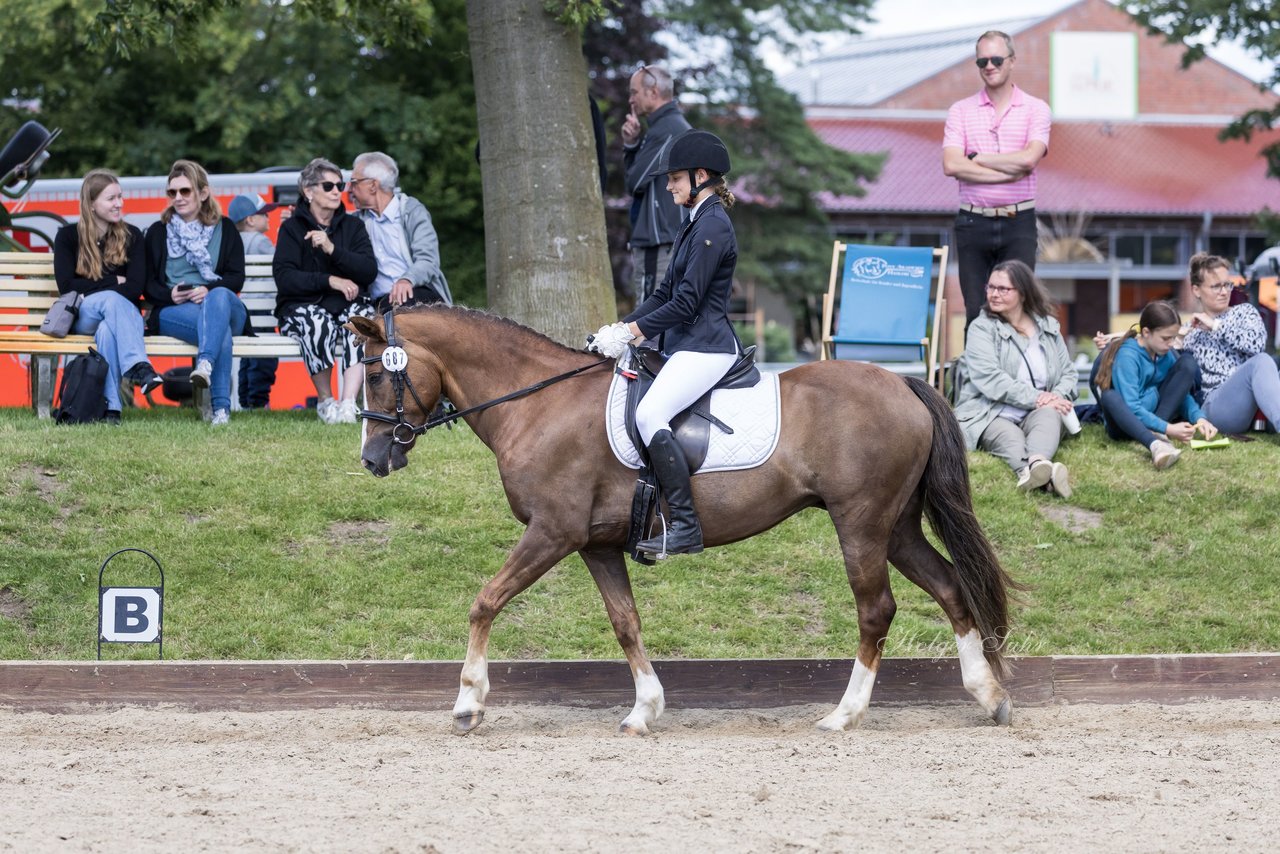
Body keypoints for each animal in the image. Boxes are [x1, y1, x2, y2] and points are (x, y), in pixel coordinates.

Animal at [350, 307, 1018, 737]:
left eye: (378, 372)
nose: (373, 459)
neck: (537, 404)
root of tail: (906, 386)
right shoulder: (594, 545)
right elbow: (625, 623)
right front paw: (645, 710)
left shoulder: (552, 532)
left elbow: (485, 601)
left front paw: (468, 704)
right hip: (897, 527)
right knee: (951, 587)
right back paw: (989, 698)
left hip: (861, 523)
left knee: (876, 610)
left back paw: (844, 715)